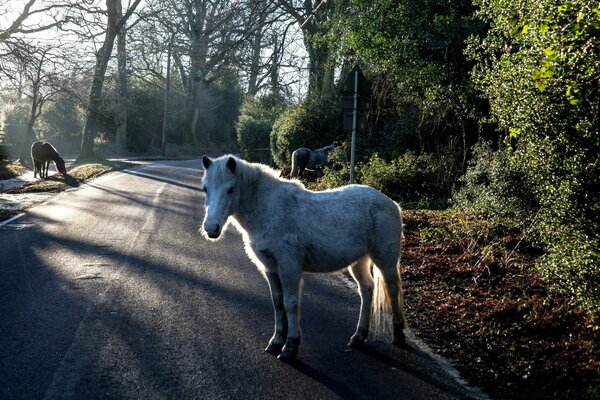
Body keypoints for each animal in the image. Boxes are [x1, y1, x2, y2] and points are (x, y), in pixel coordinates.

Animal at [202, 155, 408, 360]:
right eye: (205, 188)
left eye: (231, 188)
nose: (211, 228)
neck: (269, 209)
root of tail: (392, 204)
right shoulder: (270, 269)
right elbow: (278, 303)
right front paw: (276, 341)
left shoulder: (289, 267)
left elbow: (291, 303)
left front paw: (290, 346)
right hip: (359, 261)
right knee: (367, 289)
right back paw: (359, 336)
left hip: (385, 260)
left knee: (392, 290)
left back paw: (398, 335)